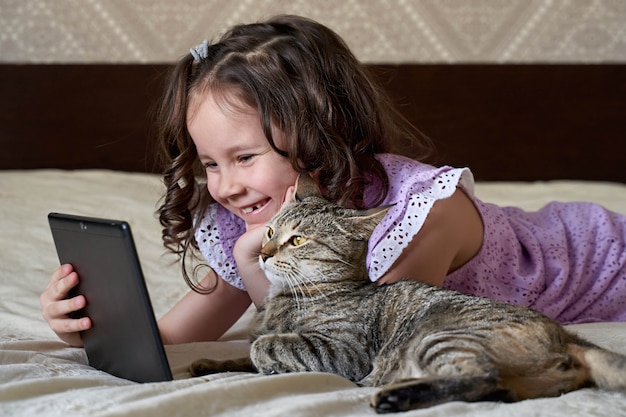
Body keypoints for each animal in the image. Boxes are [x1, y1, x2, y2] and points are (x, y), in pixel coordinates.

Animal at [190, 173, 624, 412]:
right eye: (268, 231)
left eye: (296, 240)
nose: (262, 253)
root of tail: (566, 337)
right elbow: (242, 357)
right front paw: (208, 363)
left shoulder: (341, 351)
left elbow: (263, 348)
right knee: (501, 389)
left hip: (439, 338)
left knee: (482, 379)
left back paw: (393, 396)